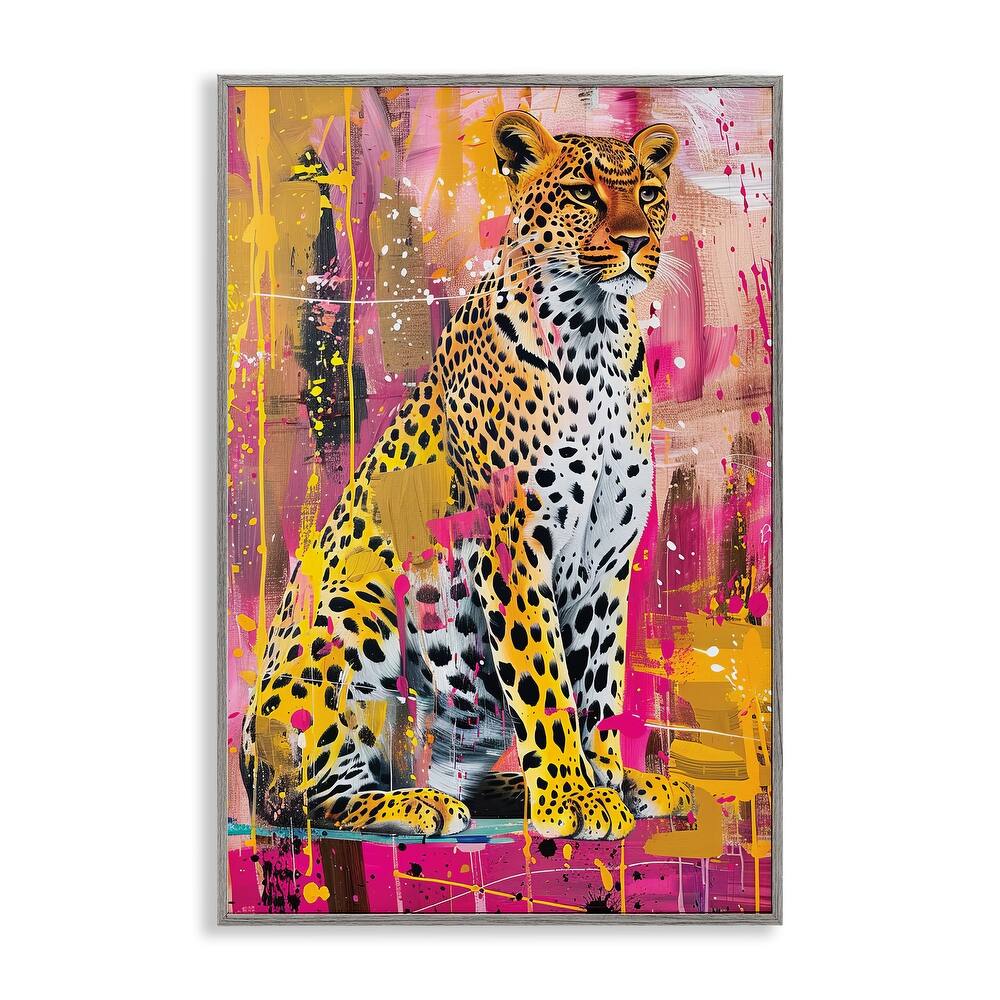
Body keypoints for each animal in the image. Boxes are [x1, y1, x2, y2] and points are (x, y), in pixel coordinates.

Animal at [240, 110, 696, 841]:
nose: (635, 243)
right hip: (352, 610)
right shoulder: (514, 546)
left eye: (649, 194)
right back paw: (416, 804)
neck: (595, 337)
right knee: (310, 799)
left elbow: (599, 688)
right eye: (583, 194)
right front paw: (571, 798)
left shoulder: (606, 565)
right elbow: (545, 682)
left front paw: (613, 786)